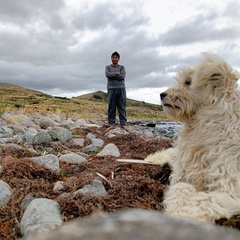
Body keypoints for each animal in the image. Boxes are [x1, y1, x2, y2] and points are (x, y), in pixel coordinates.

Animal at [145, 52, 240, 223]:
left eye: (188, 81)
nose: (162, 94)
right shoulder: (184, 174)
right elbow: (181, 187)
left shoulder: (229, 187)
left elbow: (207, 201)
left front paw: (180, 214)